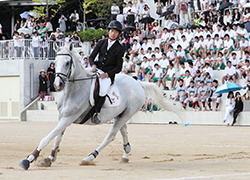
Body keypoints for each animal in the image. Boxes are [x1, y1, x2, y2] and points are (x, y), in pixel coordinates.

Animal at [18, 43, 182, 169]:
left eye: (67, 63)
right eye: (55, 62)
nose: (57, 85)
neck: (74, 90)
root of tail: (138, 83)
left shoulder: (68, 118)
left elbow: (47, 138)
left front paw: (28, 160)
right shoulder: (62, 117)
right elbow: (57, 137)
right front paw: (50, 158)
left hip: (125, 115)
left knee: (110, 137)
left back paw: (90, 157)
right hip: (121, 115)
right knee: (124, 131)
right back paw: (125, 155)